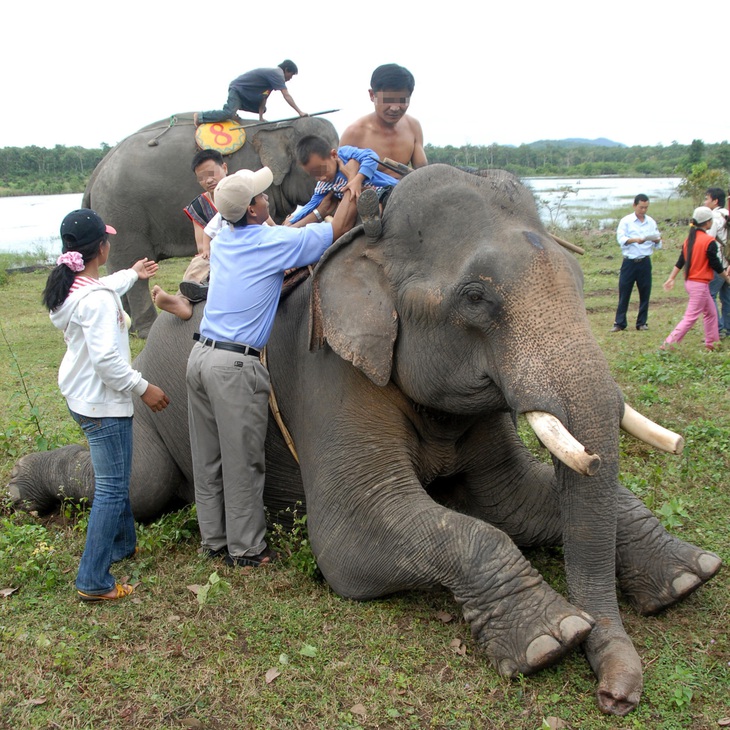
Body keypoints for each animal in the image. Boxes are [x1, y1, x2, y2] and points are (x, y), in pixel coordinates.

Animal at [9, 166, 716, 716]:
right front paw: (552, 639)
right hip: (157, 399)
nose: (617, 696)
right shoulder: (329, 371)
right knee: (143, 485)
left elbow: (511, 500)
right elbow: (353, 533)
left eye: (576, 275)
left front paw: (689, 577)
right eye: (477, 298)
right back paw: (20, 491)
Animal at [83, 114, 338, 336]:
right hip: (123, 217)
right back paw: (147, 329)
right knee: (135, 266)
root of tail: (95, 174)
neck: (278, 125)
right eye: (317, 167)